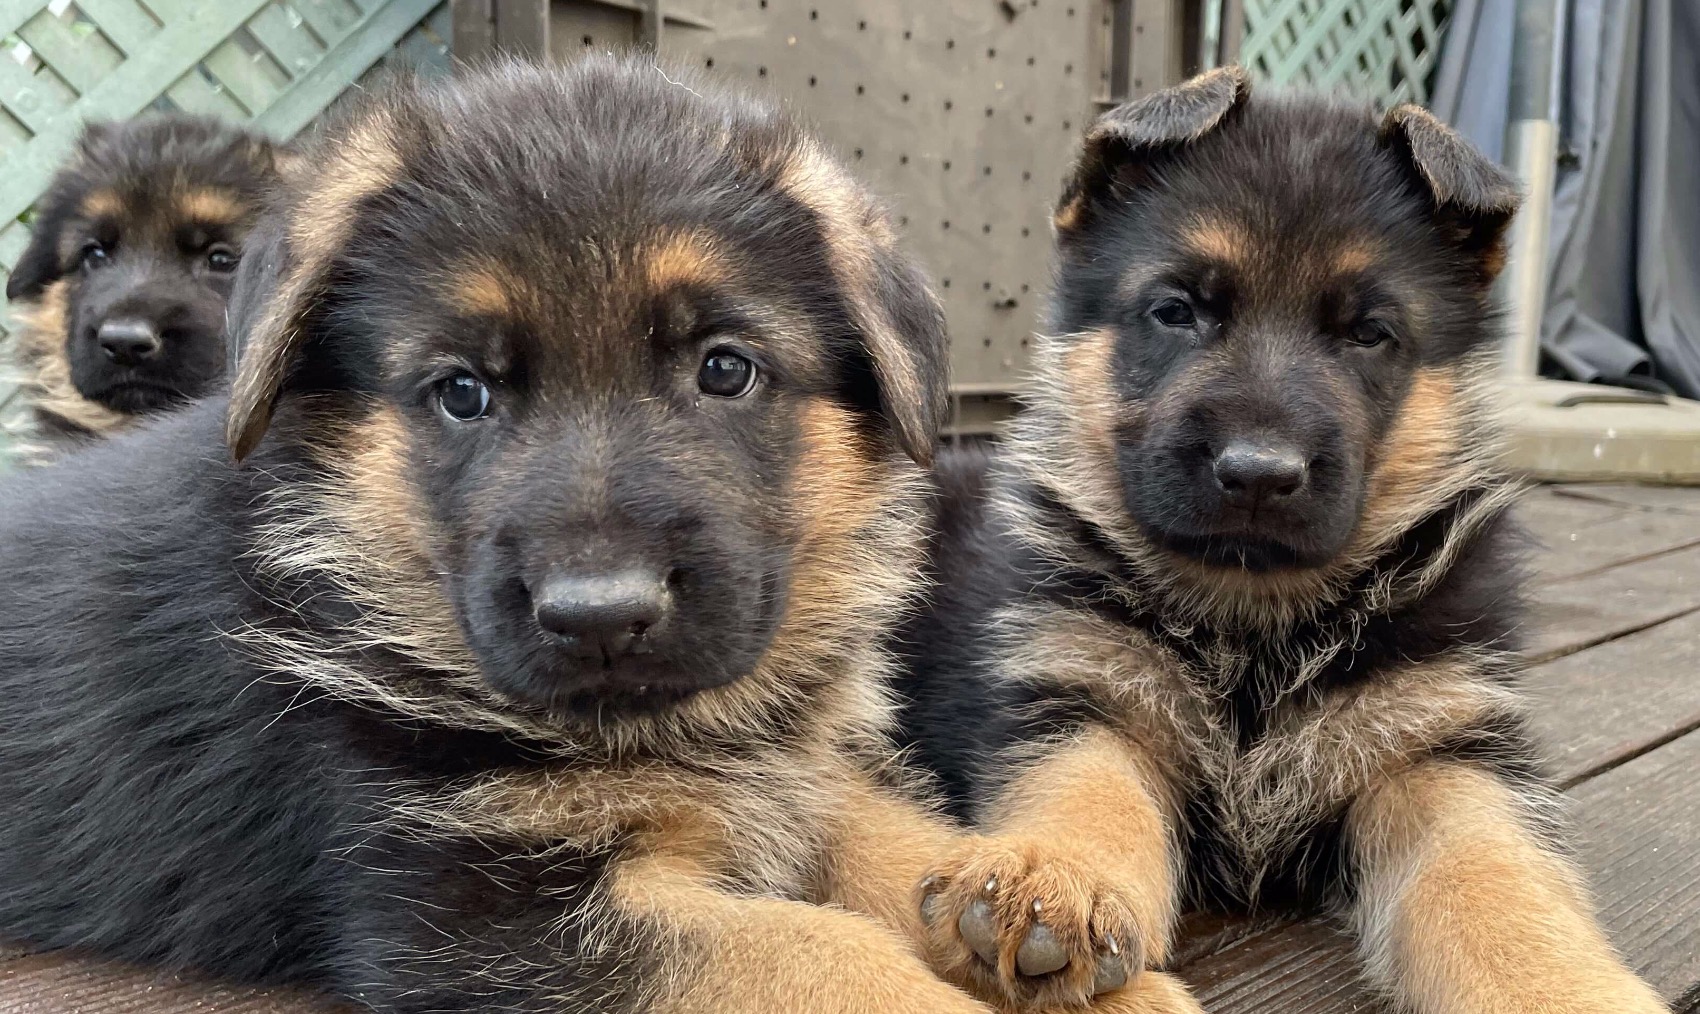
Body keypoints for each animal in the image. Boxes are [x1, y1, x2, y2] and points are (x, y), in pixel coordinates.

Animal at [897, 69, 1666, 1013]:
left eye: (1369, 333)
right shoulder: (1077, 695)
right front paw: (1051, 878)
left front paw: (1558, 985)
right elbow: (1085, 787)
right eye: (1176, 312)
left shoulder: (1435, 752)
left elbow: (1494, 876)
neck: (1253, 626)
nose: (1259, 474)